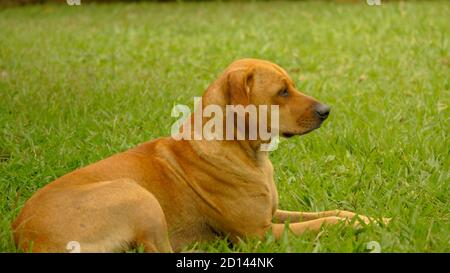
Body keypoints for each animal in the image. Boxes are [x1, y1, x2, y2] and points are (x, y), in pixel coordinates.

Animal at [12, 58, 384, 252]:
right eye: (282, 92)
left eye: (291, 85)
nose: (327, 111)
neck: (246, 153)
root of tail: (23, 235)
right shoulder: (258, 235)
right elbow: (325, 221)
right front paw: (364, 225)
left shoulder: (273, 215)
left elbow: (334, 212)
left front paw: (372, 219)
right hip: (137, 197)